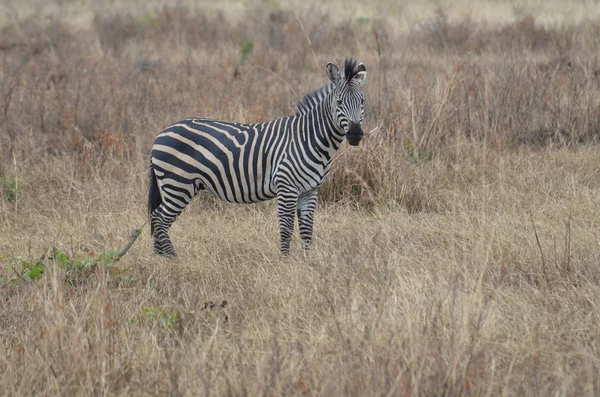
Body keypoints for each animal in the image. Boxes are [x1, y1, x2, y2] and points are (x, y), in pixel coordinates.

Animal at [148, 58, 368, 256]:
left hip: (176, 186)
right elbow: (286, 228)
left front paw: (307, 262)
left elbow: (307, 231)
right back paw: (172, 259)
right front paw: (285, 262)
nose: (355, 135)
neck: (309, 139)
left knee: (156, 218)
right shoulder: (286, 187)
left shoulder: (310, 191)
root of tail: (161, 134)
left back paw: (161, 258)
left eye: (362, 102)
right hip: (178, 184)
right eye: (339, 102)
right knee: (159, 219)